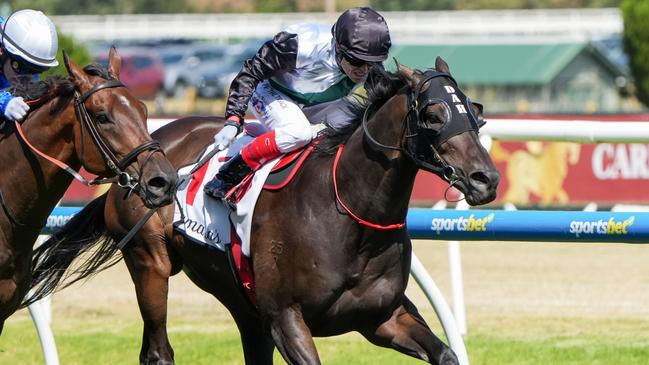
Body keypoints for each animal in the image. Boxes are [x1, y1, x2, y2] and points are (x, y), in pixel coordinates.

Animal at [27, 58, 498, 362]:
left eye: (474, 111)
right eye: (434, 114)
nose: (486, 179)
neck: (348, 213)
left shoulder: (383, 316)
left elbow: (447, 354)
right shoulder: (287, 319)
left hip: (241, 299)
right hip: (150, 262)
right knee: (157, 351)